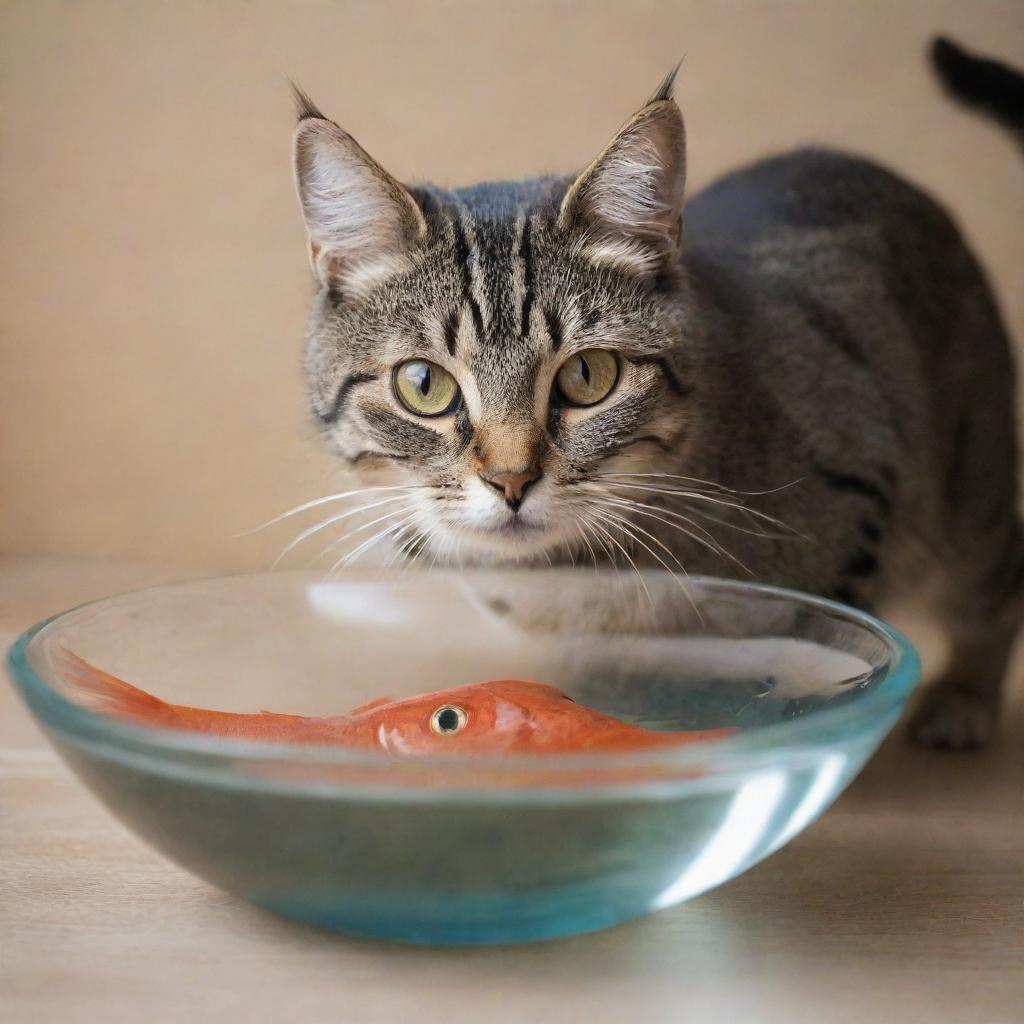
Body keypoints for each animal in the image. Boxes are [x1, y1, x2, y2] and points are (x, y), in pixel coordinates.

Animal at [288, 37, 1024, 753]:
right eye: (425, 385)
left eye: (588, 376)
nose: (512, 480)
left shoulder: (856, 502)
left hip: (973, 482)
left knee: (994, 580)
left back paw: (964, 699)